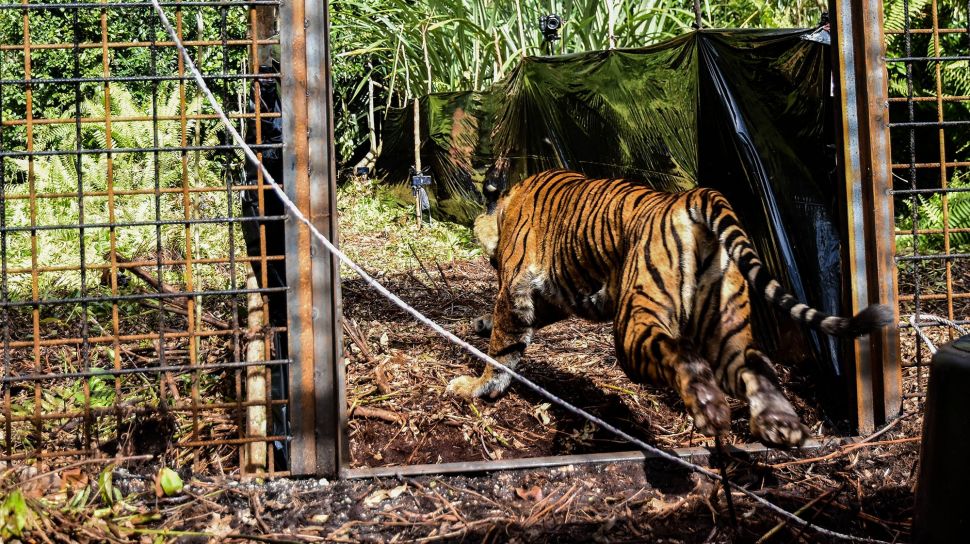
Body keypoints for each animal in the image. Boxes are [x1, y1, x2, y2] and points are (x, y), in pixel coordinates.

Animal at [444, 169, 884, 446]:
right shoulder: (554, 297)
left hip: (636, 321)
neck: (508, 204)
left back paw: (708, 408)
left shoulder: (517, 288)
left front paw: (475, 386)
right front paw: (480, 325)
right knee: (757, 366)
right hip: (725, 329)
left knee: (682, 356)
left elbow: (504, 347)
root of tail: (693, 195)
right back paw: (782, 425)